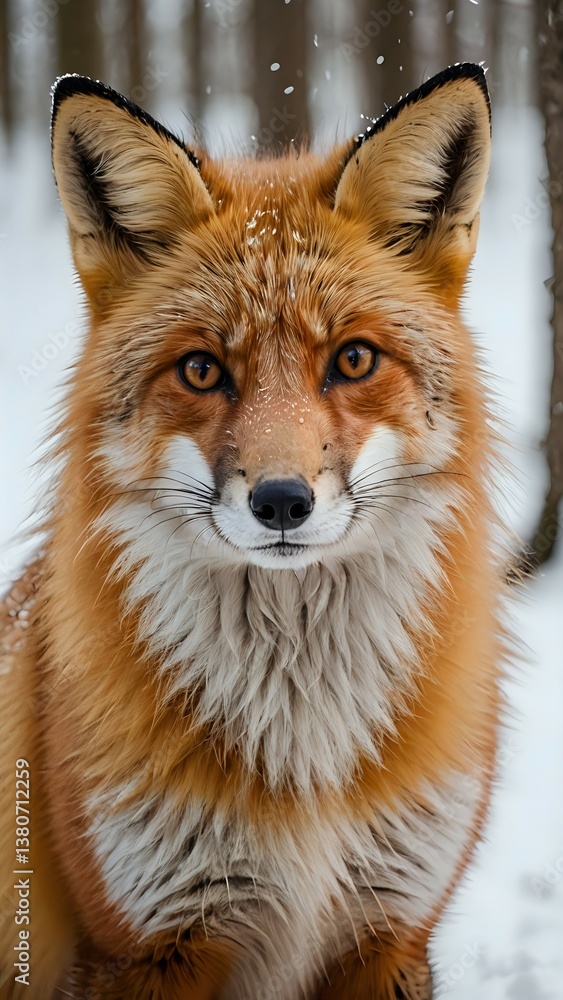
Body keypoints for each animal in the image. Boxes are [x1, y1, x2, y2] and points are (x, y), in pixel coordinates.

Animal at [0, 63, 504, 998]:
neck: (302, 762)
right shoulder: (143, 942)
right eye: (202, 370)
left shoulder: (389, 931)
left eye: (352, 360)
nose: (279, 502)